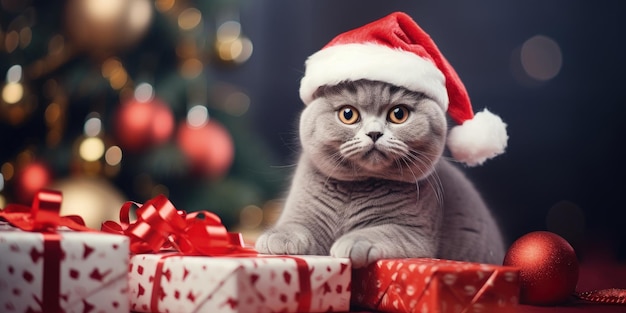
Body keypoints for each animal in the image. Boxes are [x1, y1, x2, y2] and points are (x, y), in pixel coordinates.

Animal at [256, 80, 504, 266]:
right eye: (348, 114)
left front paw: (353, 242)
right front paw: (277, 237)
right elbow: (295, 225)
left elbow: (381, 231)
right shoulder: (303, 214)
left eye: (398, 114)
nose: (374, 133)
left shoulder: (414, 233)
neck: (355, 189)